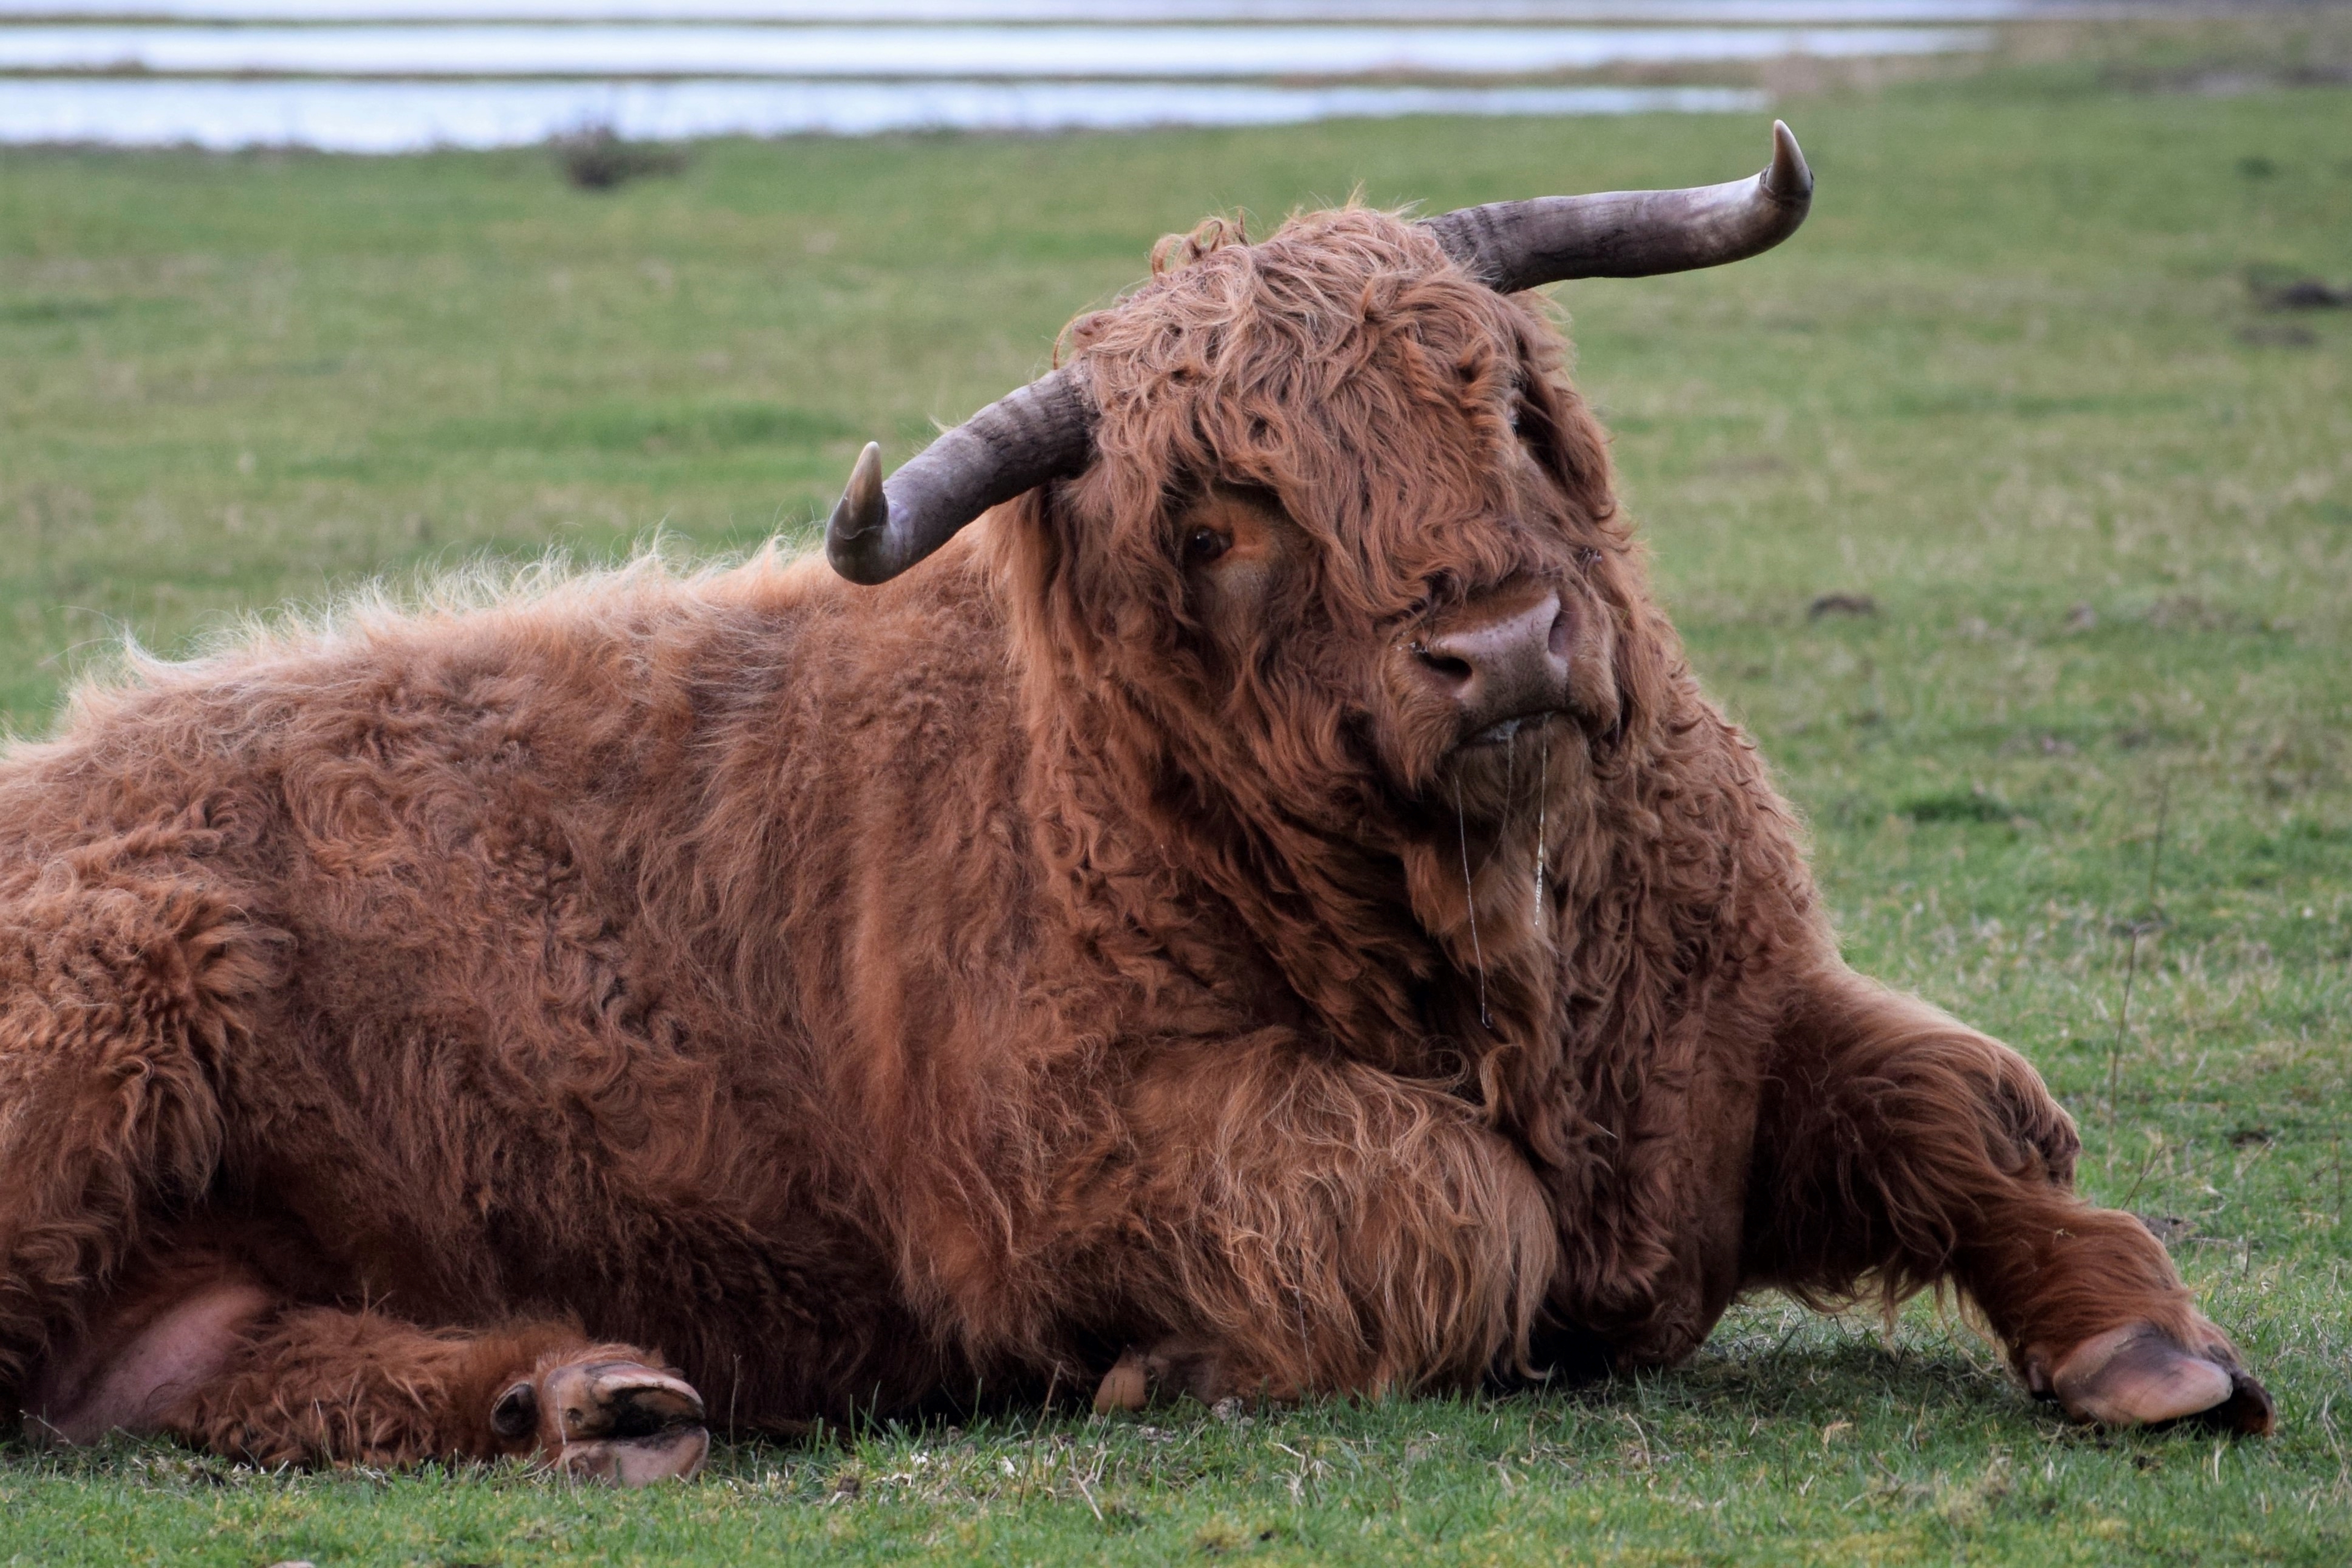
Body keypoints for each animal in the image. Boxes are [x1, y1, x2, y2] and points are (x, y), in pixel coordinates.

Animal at [0, 126, 2277, 1485]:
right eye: (1225, 515)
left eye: (1495, 391)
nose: (1505, 644)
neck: (1504, 962)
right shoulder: (1065, 1160)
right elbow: (1446, 1210)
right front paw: (1158, 1365)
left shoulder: (1733, 1026)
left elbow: (1957, 1103)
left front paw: (2151, 1346)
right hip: (116, 1007)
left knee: (184, 1370)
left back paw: (593, 1394)